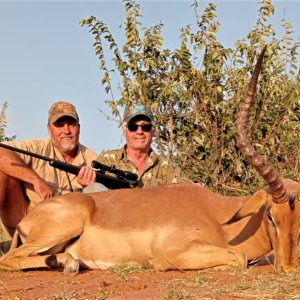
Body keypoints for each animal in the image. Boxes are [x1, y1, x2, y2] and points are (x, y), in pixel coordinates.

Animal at [0, 47, 300, 274]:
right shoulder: (174, 251)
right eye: (270, 215)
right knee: (8, 259)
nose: (289, 268)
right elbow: (239, 259)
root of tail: (31, 218)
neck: (222, 218)